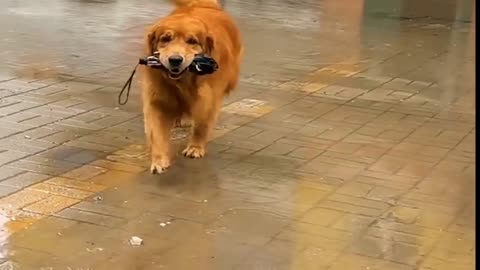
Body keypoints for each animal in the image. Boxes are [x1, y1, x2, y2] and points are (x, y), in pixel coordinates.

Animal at [141, 0, 242, 173]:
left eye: (192, 41)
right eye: (165, 39)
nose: (175, 60)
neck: (184, 81)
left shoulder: (209, 99)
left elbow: (202, 125)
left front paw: (195, 148)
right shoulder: (157, 99)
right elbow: (157, 132)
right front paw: (159, 160)